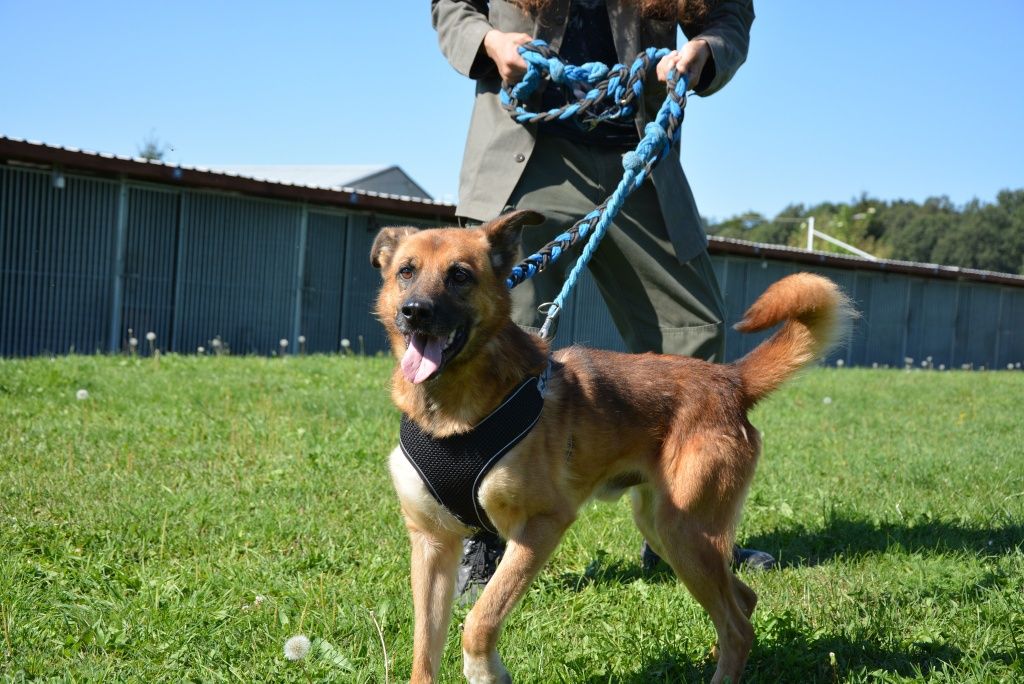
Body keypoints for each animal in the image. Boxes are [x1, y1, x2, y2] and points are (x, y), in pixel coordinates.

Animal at [372, 210, 851, 679]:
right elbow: (424, 651)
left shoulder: (542, 526)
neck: (449, 417)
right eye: (406, 271)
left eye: (459, 275)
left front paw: (485, 670)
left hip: (684, 532)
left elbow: (480, 619)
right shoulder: (432, 545)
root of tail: (730, 380)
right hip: (662, 528)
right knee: (743, 603)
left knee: (738, 626)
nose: (415, 312)